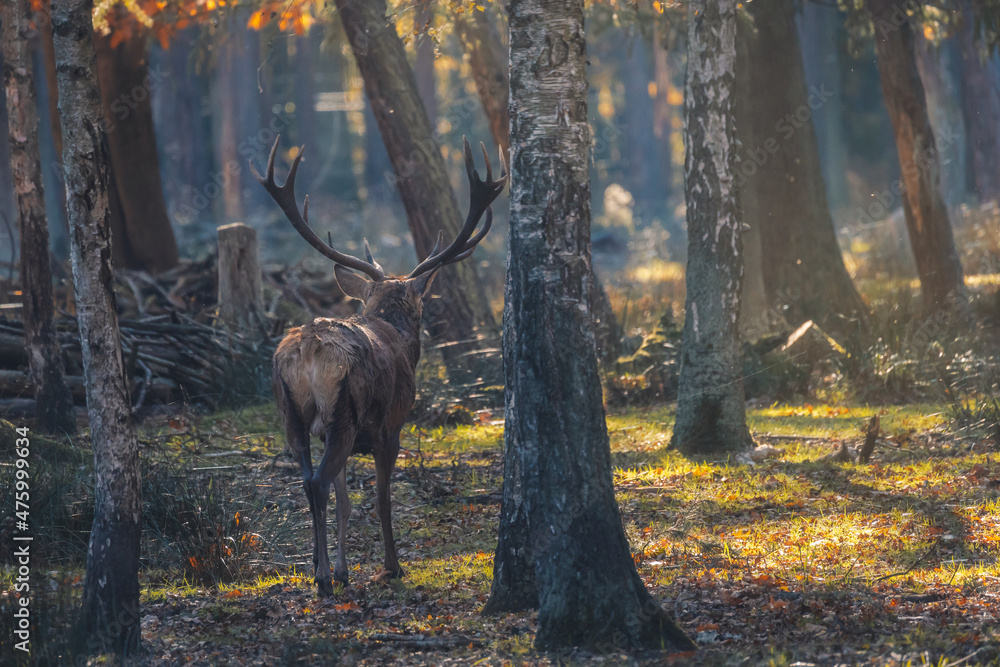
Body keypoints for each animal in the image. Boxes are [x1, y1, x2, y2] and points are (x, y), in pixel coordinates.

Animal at [252, 134, 508, 596]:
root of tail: (310, 349)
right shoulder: (391, 426)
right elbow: (381, 498)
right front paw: (391, 566)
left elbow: (345, 502)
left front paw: (344, 568)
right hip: (344, 415)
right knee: (316, 482)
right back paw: (321, 578)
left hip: (291, 415)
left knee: (308, 482)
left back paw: (320, 570)